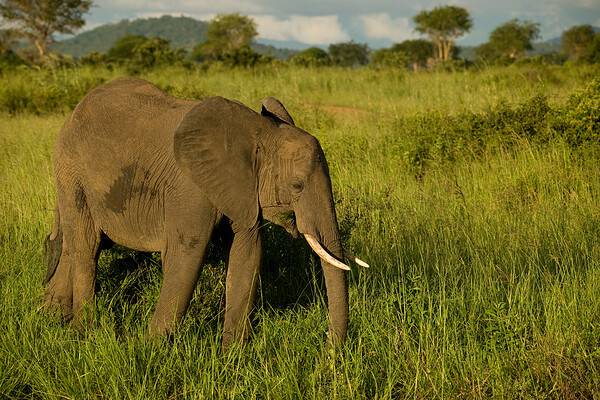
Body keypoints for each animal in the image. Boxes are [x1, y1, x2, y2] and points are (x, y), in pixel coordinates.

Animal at [44, 78, 366, 346]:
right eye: (297, 186)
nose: (329, 349)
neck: (257, 133)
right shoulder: (190, 187)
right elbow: (187, 254)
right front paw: (150, 350)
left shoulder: (242, 190)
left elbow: (248, 253)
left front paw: (232, 357)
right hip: (71, 170)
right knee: (87, 245)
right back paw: (83, 332)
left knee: (77, 244)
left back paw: (52, 314)